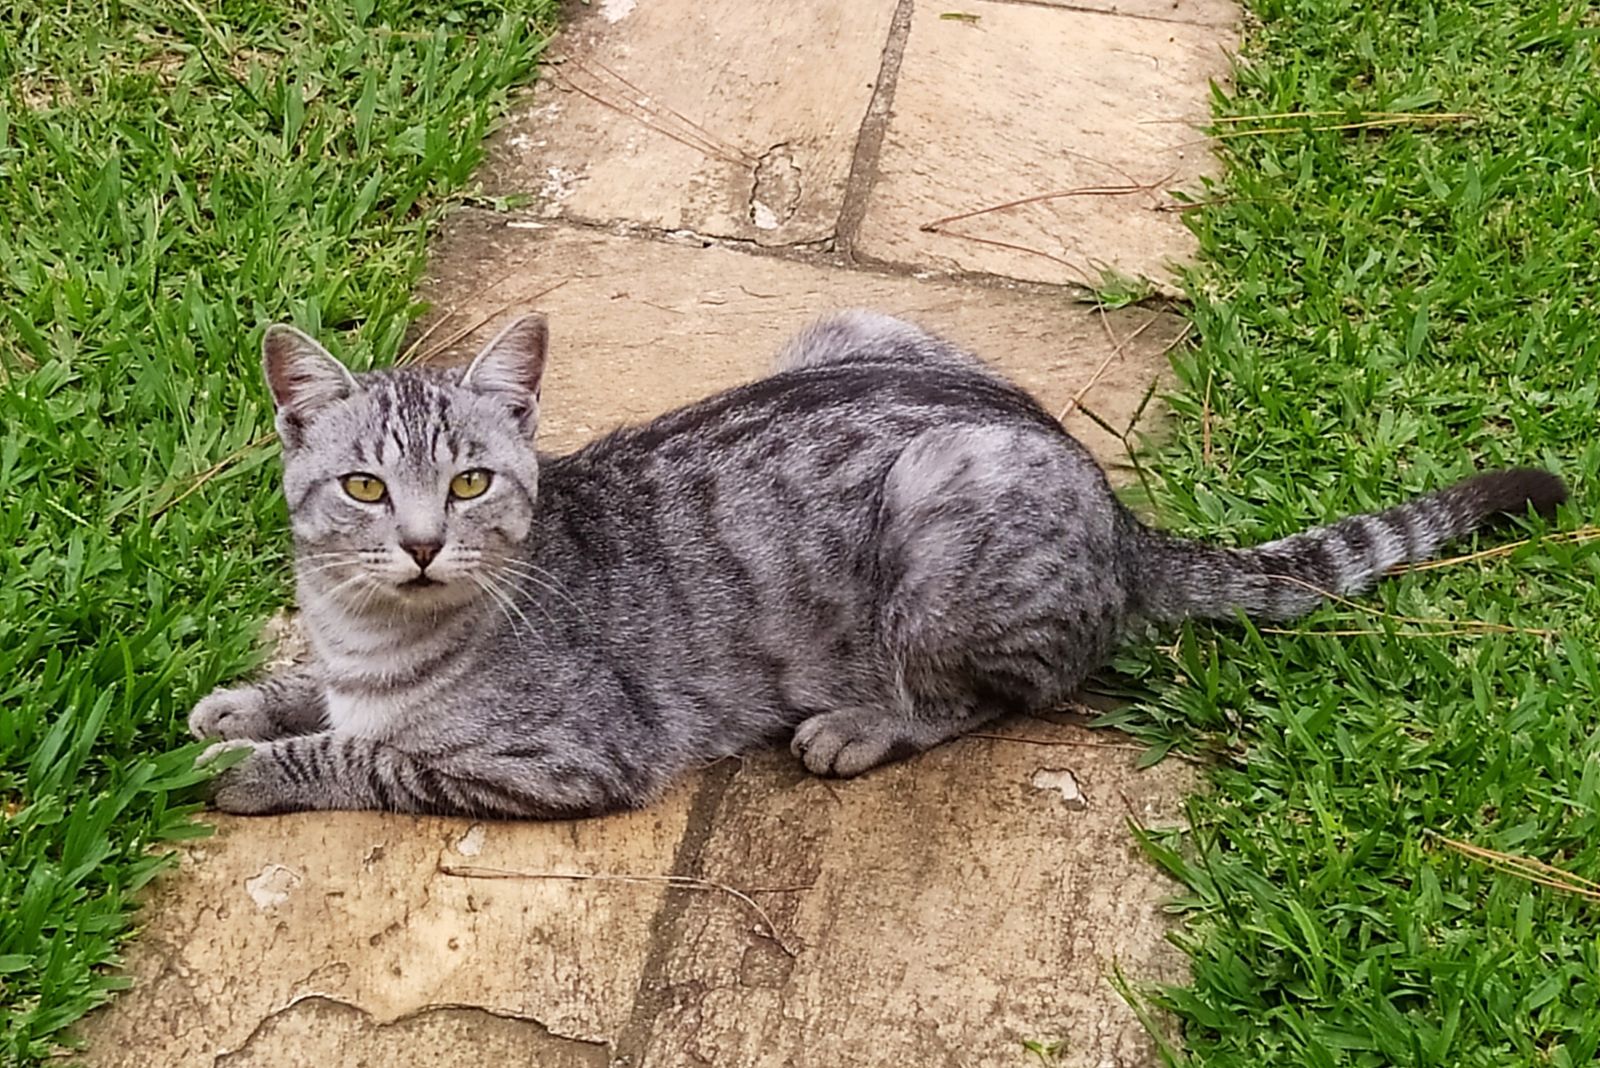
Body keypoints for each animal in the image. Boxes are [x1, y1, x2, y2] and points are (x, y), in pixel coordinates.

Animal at [190, 310, 1574, 818]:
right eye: (366, 488)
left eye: (472, 485)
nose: (424, 543)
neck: (382, 634)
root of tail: (1113, 503)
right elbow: (322, 697)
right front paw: (247, 702)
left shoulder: (572, 763)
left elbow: (375, 756)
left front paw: (258, 767)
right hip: (843, 327)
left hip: (942, 508)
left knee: (1009, 692)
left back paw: (863, 724)